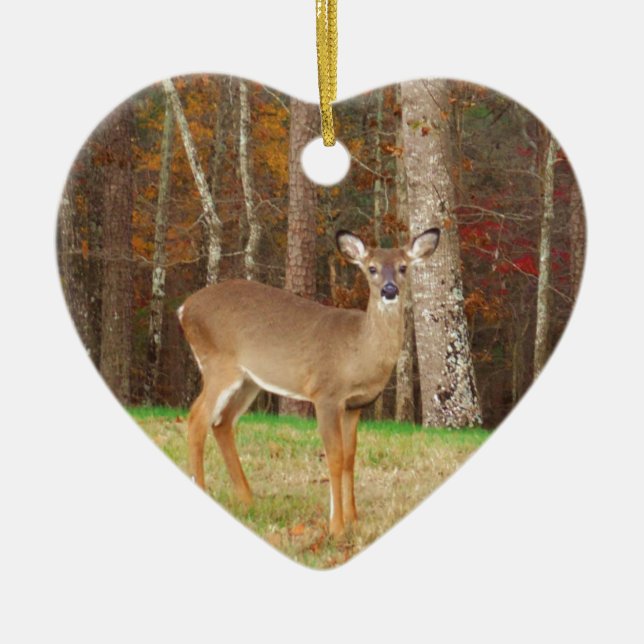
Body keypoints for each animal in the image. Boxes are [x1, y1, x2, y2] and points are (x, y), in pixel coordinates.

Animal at [177, 227, 440, 537]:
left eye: (403, 267)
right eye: (372, 268)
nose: (389, 290)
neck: (359, 351)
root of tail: (184, 308)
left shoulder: (354, 405)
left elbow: (350, 457)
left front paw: (354, 519)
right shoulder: (326, 394)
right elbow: (334, 457)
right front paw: (336, 526)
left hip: (248, 380)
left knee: (222, 423)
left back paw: (249, 500)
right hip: (219, 365)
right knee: (197, 418)